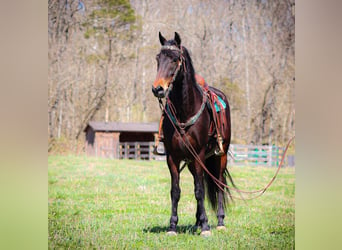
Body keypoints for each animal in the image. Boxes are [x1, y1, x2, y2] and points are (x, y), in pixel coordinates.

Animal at [152, 31, 235, 236]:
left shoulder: (198, 155)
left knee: (219, 184)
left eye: (174, 59)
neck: (185, 110)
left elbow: (199, 191)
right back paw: (197, 222)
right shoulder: (173, 157)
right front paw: (172, 226)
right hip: (192, 162)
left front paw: (206, 226)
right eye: (158, 58)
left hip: (219, 156)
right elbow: (176, 191)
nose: (158, 89)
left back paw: (219, 221)